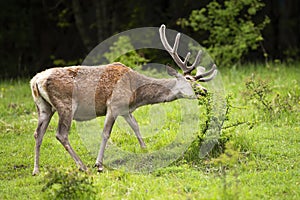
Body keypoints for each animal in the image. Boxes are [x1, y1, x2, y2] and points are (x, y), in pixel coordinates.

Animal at [30, 24, 217, 175]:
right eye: (189, 80)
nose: (205, 91)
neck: (136, 95)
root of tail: (35, 81)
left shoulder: (125, 109)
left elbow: (136, 127)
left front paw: (145, 150)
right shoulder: (114, 105)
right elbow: (106, 133)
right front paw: (99, 164)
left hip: (44, 107)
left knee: (38, 133)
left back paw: (36, 170)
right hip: (65, 104)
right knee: (61, 134)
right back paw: (82, 166)